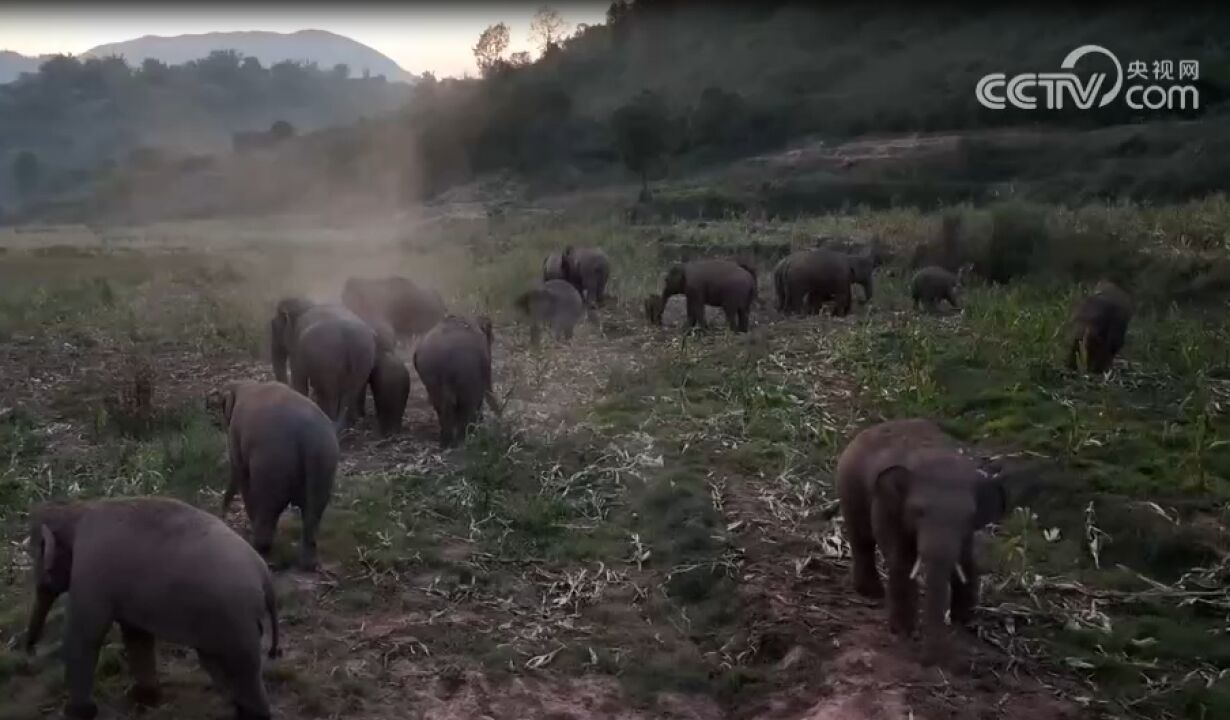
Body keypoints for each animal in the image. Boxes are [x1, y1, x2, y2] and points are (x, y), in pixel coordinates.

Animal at [25, 494, 280, 718]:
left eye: (37, 556)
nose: (30, 651)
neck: (78, 509)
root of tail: (265, 576)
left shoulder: (90, 572)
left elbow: (85, 635)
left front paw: (78, 713)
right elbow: (136, 635)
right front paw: (145, 699)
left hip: (235, 618)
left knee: (242, 669)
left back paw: (254, 714)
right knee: (217, 663)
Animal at [207, 379, 339, 571]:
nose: (221, 515)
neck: (242, 385)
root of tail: (309, 437)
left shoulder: (236, 432)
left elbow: (241, 471)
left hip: (274, 463)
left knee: (269, 505)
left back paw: (259, 546)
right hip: (325, 462)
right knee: (313, 510)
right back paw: (309, 564)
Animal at [271, 295, 376, 430]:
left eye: (273, 326)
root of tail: (349, 338)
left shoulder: (298, 351)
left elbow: (299, 379)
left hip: (328, 362)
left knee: (330, 393)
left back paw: (330, 419)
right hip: (364, 358)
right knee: (352, 391)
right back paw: (351, 421)